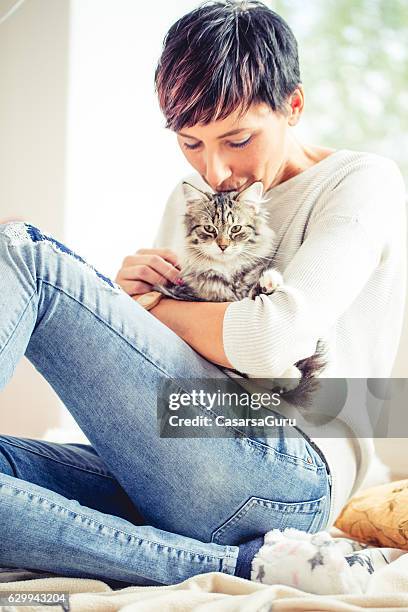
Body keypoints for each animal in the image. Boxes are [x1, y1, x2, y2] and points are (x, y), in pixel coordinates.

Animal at [155, 180, 326, 402]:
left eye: (235, 228)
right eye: (209, 228)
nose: (223, 246)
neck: (228, 272)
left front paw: (270, 281)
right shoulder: (186, 295)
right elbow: (245, 367)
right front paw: (288, 376)